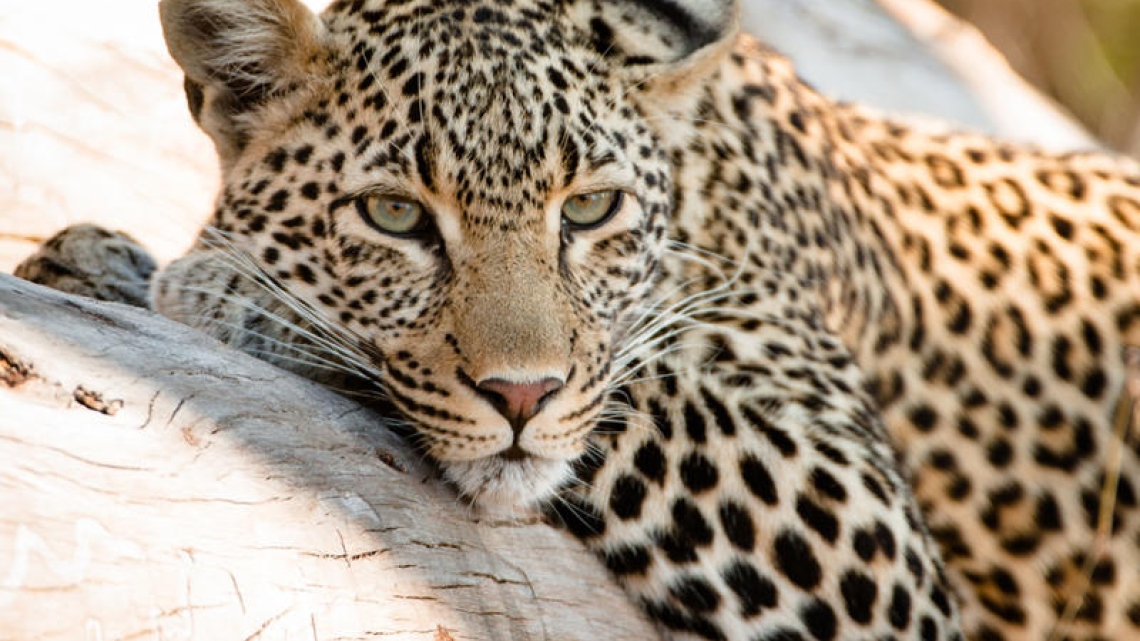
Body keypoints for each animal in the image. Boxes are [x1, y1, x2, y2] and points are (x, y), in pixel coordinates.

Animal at [13, 0, 1140, 634]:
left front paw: (225, 290)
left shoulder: (869, 523)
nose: (520, 396)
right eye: (394, 215)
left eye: (590, 209)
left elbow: (642, 389)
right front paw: (97, 261)